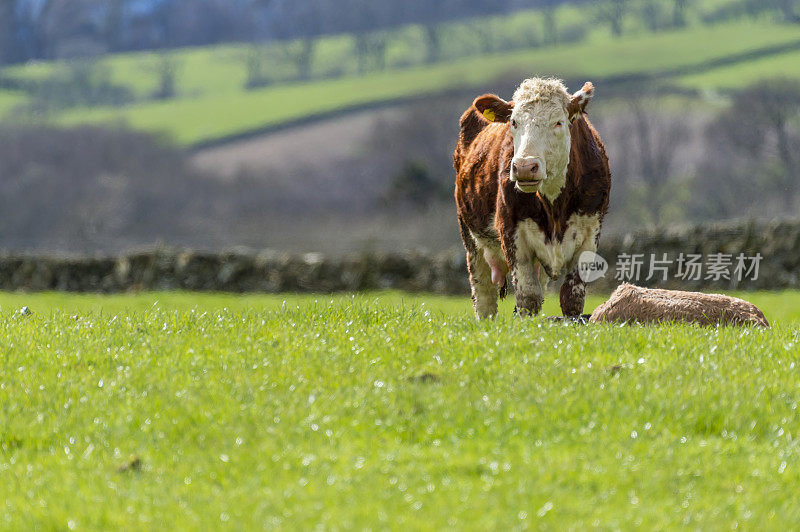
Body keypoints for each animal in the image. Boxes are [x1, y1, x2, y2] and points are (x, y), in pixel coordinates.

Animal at [456, 77, 612, 318]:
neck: (554, 205)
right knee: (484, 298)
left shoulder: (590, 232)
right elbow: (528, 298)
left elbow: (572, 298)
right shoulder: (511, 232)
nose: (524, 167)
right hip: (470, 238)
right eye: (513, 122)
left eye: (558, 122)